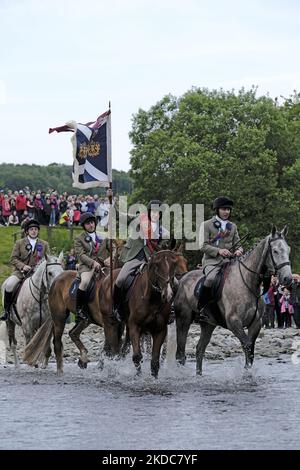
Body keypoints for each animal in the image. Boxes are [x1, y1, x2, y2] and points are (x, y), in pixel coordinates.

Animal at [98, 250, 188, 378]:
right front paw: (138, 377)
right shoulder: (135, 327)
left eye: (173, 265)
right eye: (157, 266)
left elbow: (154, 361)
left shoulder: (160, 330)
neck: (152, 299)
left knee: (119, 349)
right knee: (113, 350)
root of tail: (106, 280)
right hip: (110, 323)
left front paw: (154, 378)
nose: (168, 295)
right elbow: (137, 357)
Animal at [175, 227, 292, 374]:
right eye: (275, 251)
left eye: (288, 249)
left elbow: (250, 352)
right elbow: (247, 346)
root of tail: (182, 279)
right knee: (180, 353)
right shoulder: (234, 322)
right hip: (183, 321)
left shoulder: (256, 323)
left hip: (208, 324)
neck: (248, 282)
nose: (288, 278)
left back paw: (199, 375)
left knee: (199, 350)